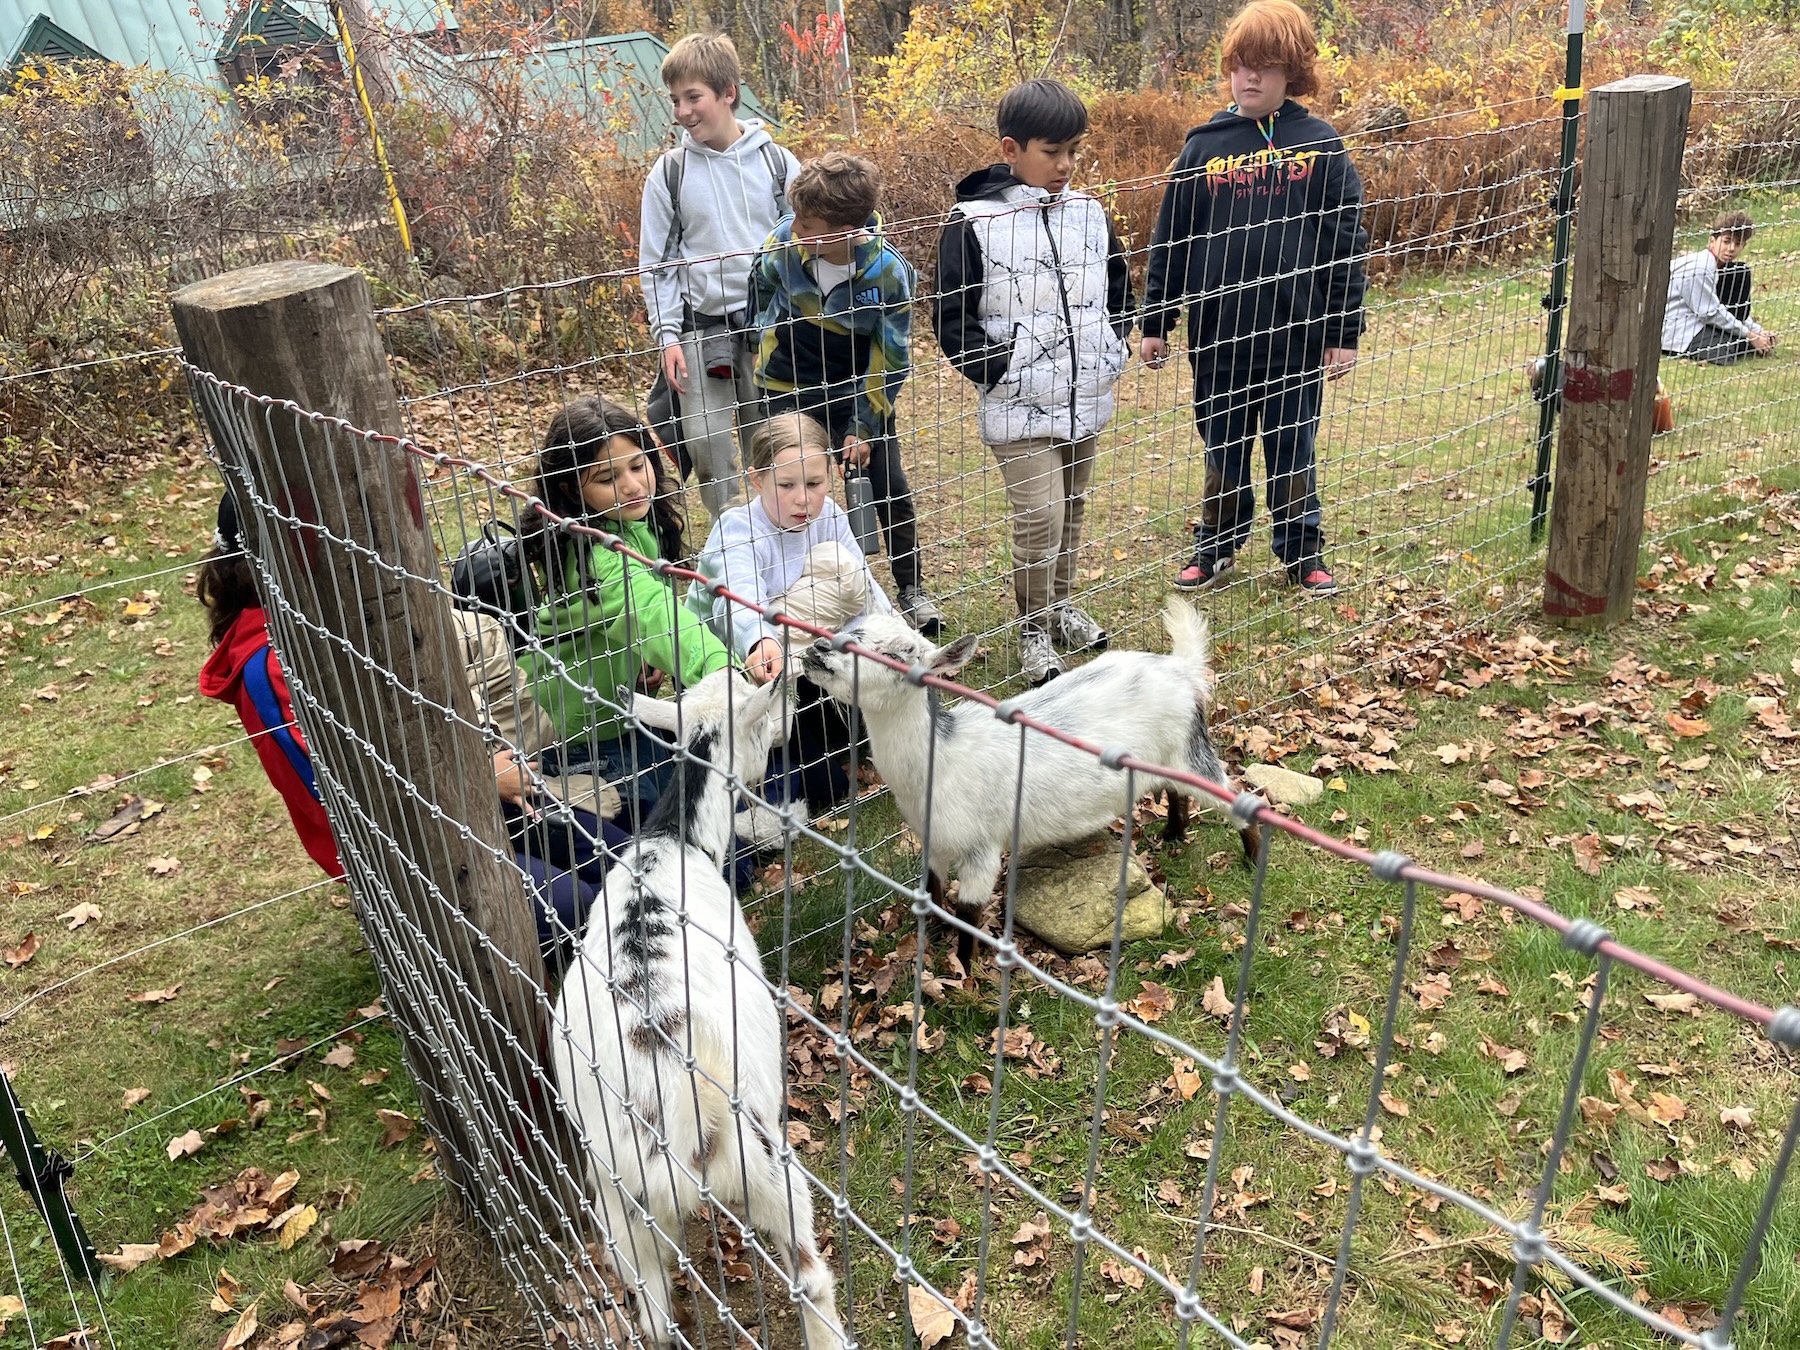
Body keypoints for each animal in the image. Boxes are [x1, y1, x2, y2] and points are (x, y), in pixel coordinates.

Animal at [551, 669, 842, 1350]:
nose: (794, 693)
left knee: (651, 1301)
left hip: (615, 1197)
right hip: (771, 1168)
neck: (673, 839)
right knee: (810, 1280)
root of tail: (683, 1117)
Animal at [801, 598, 1261, 960]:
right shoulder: (933, 839)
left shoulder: (981, 849)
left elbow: (969, 913)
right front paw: (929, 936)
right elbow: (930, 891)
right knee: (1175, 791)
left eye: (901, 654)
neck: (941, 760)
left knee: (1236, 796)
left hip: (1190, 751)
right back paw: (1173, 835)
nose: (819, 648)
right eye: (848, 628)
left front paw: (960, 977)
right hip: (1161, 759)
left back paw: (1253, 858)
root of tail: (1181, 668)